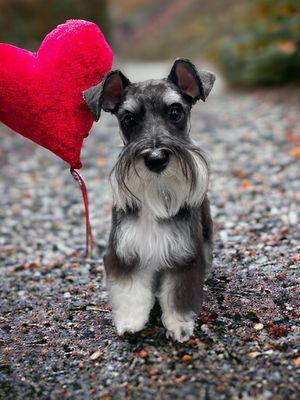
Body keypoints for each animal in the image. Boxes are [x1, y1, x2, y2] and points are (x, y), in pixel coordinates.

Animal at [82, 57, 216, 342]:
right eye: (129, 119)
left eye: (175, 112)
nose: (156, 159)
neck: (157, 193)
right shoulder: (125, 254)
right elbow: (130, 291)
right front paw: (130, 322)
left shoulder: (184, 257)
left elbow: (177, 296)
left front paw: (179, 326)